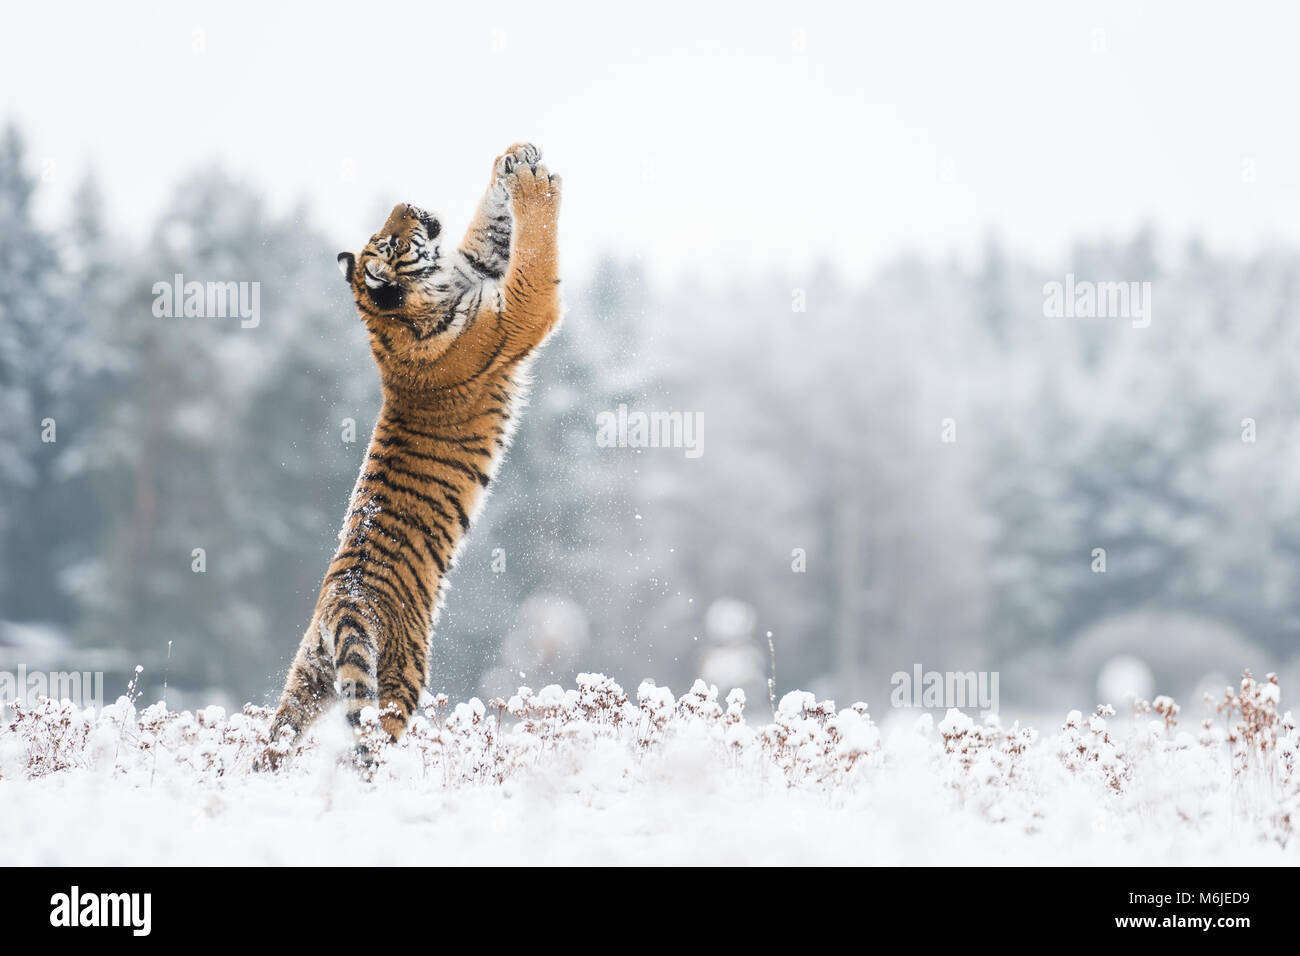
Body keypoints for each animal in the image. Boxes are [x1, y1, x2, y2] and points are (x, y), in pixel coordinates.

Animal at [256, 141, 561, 770]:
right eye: (393, 240)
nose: (406, 204)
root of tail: (341, 607)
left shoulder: (480, 262)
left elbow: (492, 226)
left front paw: (513, 159)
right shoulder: (519, 309)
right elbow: (536, 247)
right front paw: (536, 184)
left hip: (309, 679)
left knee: (275, 738)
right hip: (400, 679)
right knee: (370, 745)